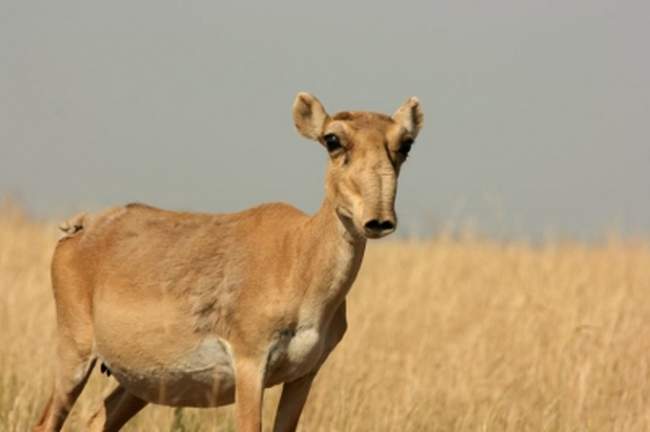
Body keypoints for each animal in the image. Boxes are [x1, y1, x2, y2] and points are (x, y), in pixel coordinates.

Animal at [34, 92, 420, 432]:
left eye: (405, 143)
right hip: (75, 357)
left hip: (138, 382)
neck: (298, 254)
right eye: (332, 139)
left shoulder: (304, 375)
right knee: (47, 422)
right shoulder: (250, 365)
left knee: (98, 418)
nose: (378, 220)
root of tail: (77, 230)